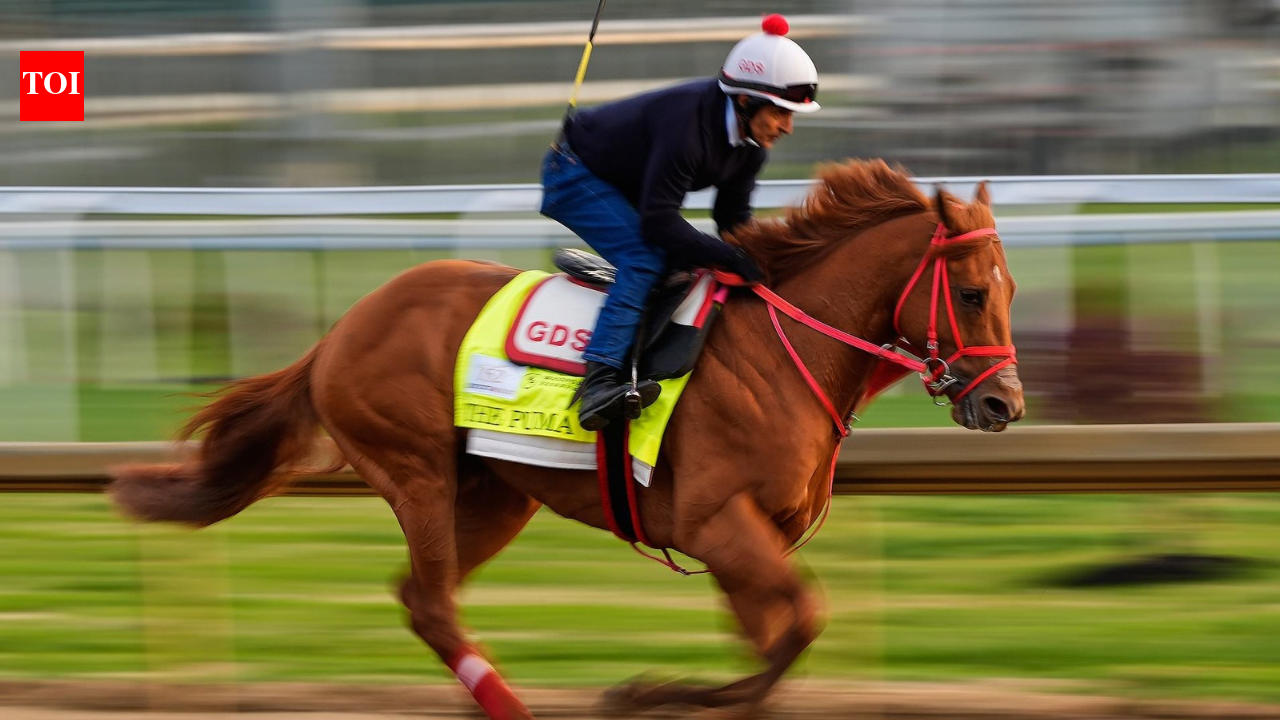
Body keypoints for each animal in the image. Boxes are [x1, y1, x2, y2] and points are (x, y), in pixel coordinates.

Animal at [109, 159, 1024, 720]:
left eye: (1008, 289)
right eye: (973, 294)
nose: (1004, 405)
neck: (784, 351)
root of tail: (340, 331)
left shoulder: (749, 541)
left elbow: (775, 644)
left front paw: (667, 690)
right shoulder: (718, 524)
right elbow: (801, 624)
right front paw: (648, 693)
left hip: (495, 495)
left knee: (420, 597)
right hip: (418, 471)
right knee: (433, 603)